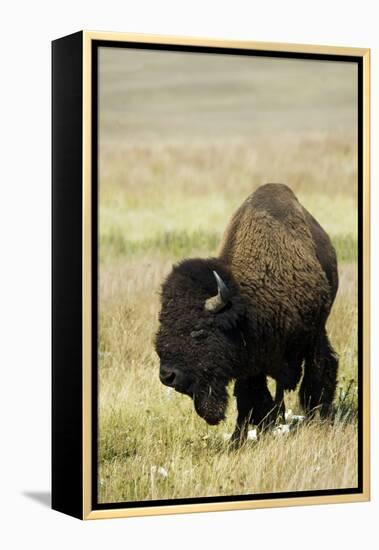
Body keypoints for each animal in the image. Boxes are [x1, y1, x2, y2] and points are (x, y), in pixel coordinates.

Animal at [154, 183, 338, 446]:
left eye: (198, 332)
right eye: (162, 324)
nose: (167, 376)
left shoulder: (313, 337)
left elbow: (317, 376)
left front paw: (318, 420)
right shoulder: (250, 362)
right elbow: (249, 399)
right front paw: (238, 439)